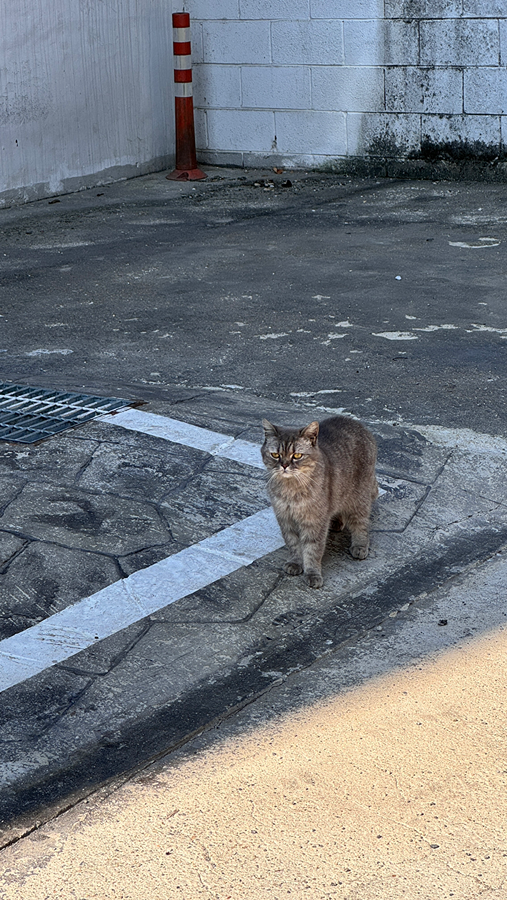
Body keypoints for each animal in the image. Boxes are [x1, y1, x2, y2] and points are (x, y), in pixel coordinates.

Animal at [262, 416, 378, 588]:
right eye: (275, 454)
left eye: (297, 455)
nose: (284, 465)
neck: (291, 490)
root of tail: (358, 424)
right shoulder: (285, 518)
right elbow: (293, 544)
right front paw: (295, 563)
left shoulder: (315, 522)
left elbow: (313, 550)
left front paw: (312, 574)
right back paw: (337, 523)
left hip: (358, 500)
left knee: (361, 524)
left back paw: (360, 546)